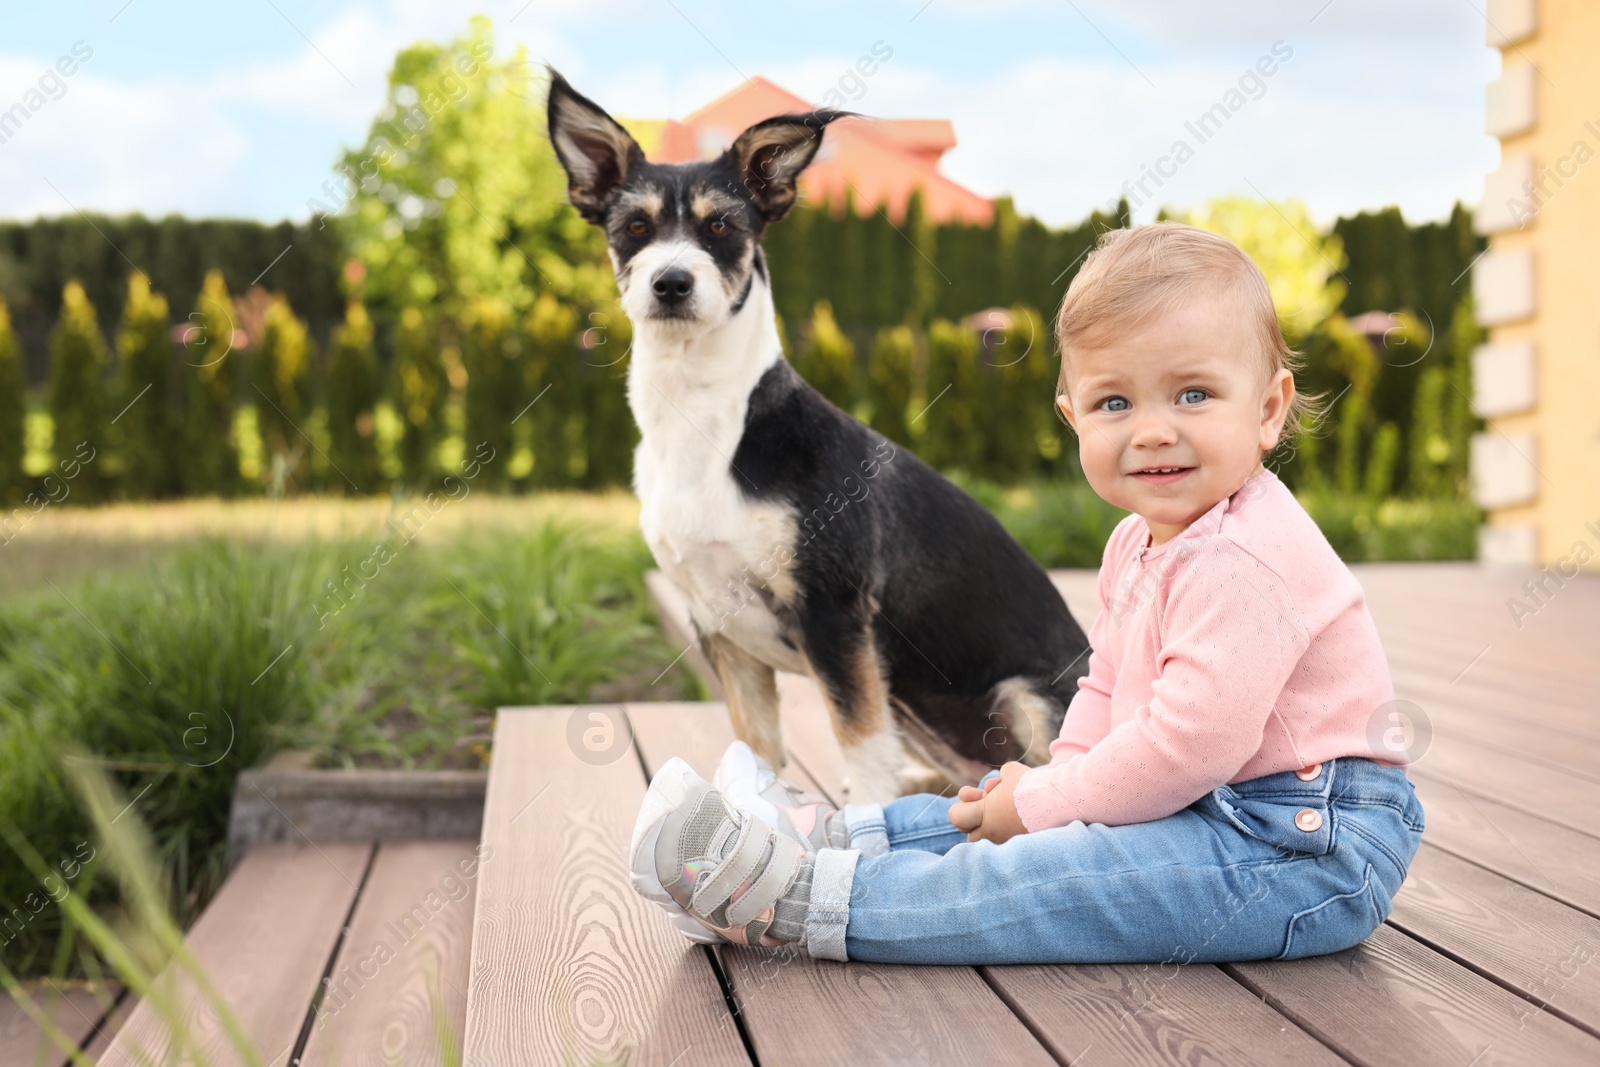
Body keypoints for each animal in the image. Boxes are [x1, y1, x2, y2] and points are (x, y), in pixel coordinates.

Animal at [547, 73, 1088, 799]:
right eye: (635, 227)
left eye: (721, 226)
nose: (671, 283)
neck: (706, 420)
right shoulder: (721, 630)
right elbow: (756, 749)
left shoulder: (834, 616)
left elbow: (859, 743)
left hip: (1024, 700)